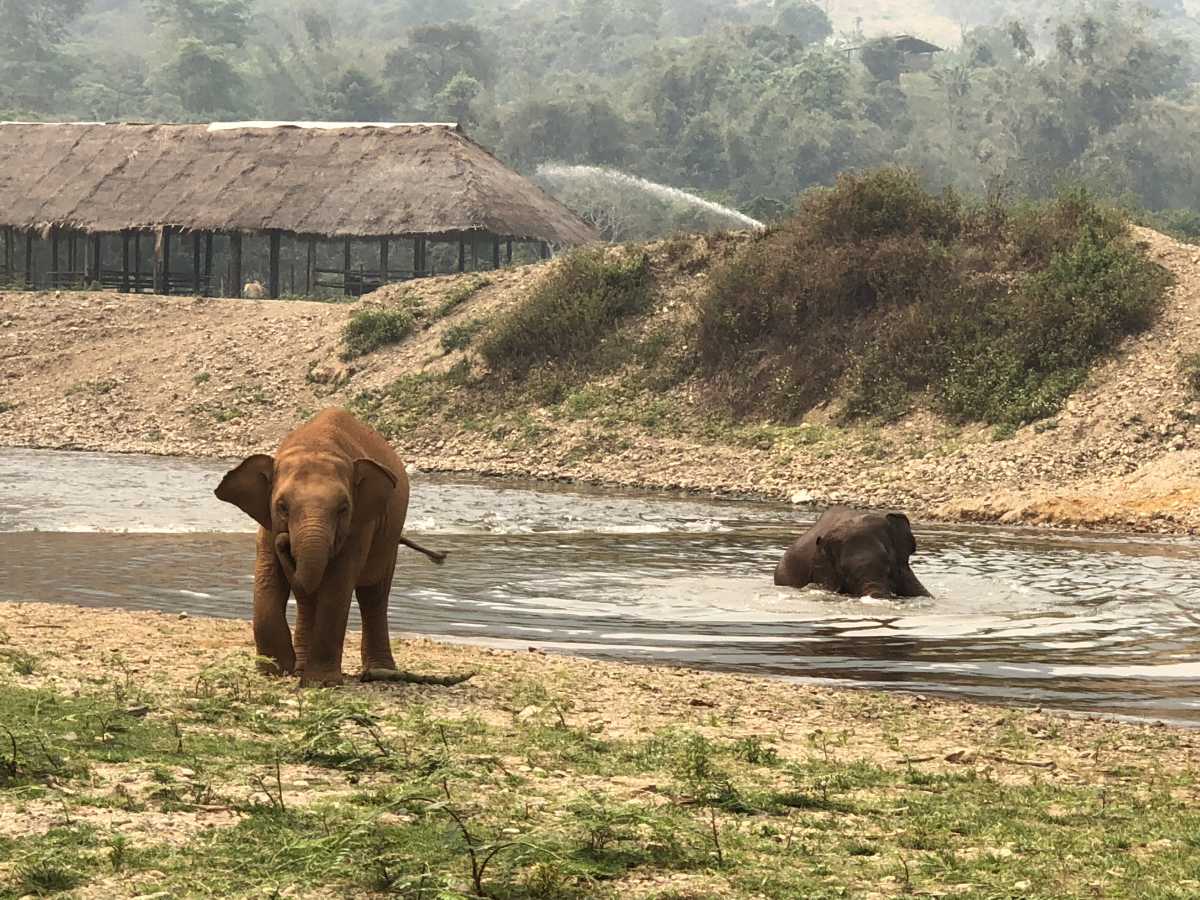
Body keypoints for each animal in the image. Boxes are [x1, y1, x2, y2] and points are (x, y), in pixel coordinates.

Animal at [216, 405, 446, 686]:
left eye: (343, 508)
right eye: (282, 507)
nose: (285, 541)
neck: (316, 444)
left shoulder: (360, 525)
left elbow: (338, 583)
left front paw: (321, 682)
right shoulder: (267, 524)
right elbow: (268, 575)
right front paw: (273, 670)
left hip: (389, 537)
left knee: (374, 594)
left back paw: (381, 672)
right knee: (308, 597)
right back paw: (301, 667)